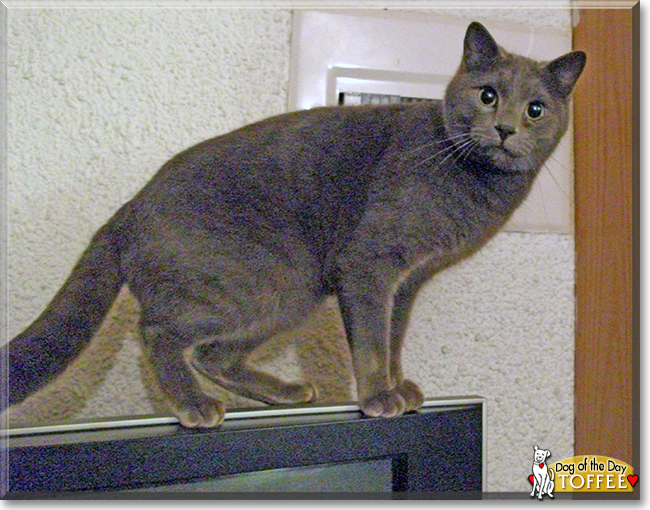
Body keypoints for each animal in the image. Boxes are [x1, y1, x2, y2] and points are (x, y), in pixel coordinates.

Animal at [1, 22, 588, 426]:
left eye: (536, 108)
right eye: (488, 95)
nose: (506, 128)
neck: (471, 179)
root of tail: (126, 209)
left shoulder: (409, 281)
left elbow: (393, 338)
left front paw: (400, 386)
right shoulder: (371, 264)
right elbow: (371, 341)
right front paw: (378, 396)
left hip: (292, 290)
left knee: (213, 352)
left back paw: (285, 392)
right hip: (261, 278)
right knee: (159, 332)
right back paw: (195, 405)